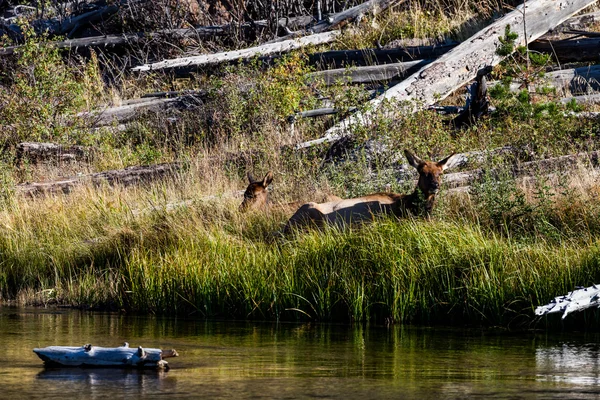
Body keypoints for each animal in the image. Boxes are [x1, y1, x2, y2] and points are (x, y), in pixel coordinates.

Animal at [284, 149, 462, 231]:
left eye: (440, 173)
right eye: (423, 173)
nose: (435, 186)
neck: (409, 205)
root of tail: (282, 229)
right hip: (310, 212)